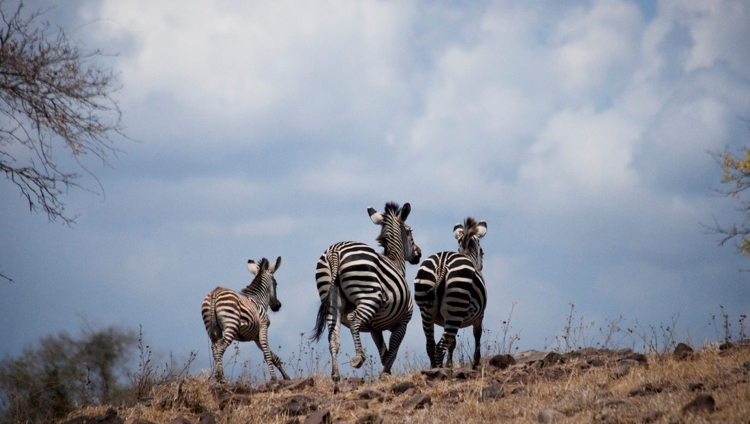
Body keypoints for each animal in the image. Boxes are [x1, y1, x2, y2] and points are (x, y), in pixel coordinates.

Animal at [203, 255, 290, 384]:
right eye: (276, 283)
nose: (278, 306)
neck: (259, 299)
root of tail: (215, 293)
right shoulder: (263, 326)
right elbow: (267, 352)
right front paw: (274, 378)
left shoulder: (255, 336)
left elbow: (272, 355)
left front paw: (286, 377)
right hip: (231, 324)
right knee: (220, 347)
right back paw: (220, 377)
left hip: (212, 328)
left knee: (214, 348)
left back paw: (220, 377)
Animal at [312, 202, 424, 380]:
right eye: (409, 231)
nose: (419, 254)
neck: (396, 263)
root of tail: (335, 252)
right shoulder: (403, 322)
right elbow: (392, 351)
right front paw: (385, 374)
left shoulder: (374, 329)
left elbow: (384, 352)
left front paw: (386, 374)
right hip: (369, 295)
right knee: (354, 318)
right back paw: (358, 358)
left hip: (331, 300)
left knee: (333, 336)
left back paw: (336, 376)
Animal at [414, 217, 490, 370]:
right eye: (482, 252)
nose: (480, 267)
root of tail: (442, 265)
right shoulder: (479, 315)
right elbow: (477, 334)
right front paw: (476, 362)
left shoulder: (445, 320)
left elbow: (452, 343)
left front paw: (449, 364)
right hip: (456, 308)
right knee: (439, 347)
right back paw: (441, 372)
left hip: (426, 311)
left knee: (430, 346)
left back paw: (434, 369)